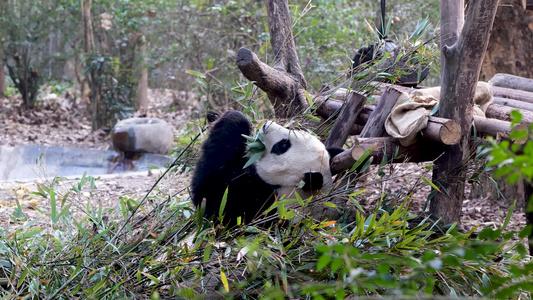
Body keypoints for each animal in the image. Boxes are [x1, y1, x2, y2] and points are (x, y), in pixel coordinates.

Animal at [191, 110, 340, 227]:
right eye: (298, 131)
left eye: (282, 145)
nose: (265, 124)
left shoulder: (252, 203)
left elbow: (209, 192)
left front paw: (235, 119)